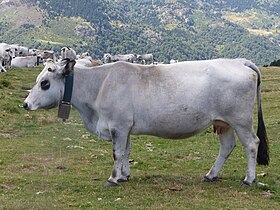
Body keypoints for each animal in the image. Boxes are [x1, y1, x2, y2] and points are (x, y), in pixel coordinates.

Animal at [23, 57, 270, 187]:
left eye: (44, 83)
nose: (26, 104)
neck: (99, 84)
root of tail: (239, 61)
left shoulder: (118, 126)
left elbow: (117, 153)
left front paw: (113, 178)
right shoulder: (124, 128)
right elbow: (125, 152)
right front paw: (124, 175)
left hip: (240, 120)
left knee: (252, 144)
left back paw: (249, 178)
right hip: (223, 122)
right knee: (227, 146)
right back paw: (211, 174)